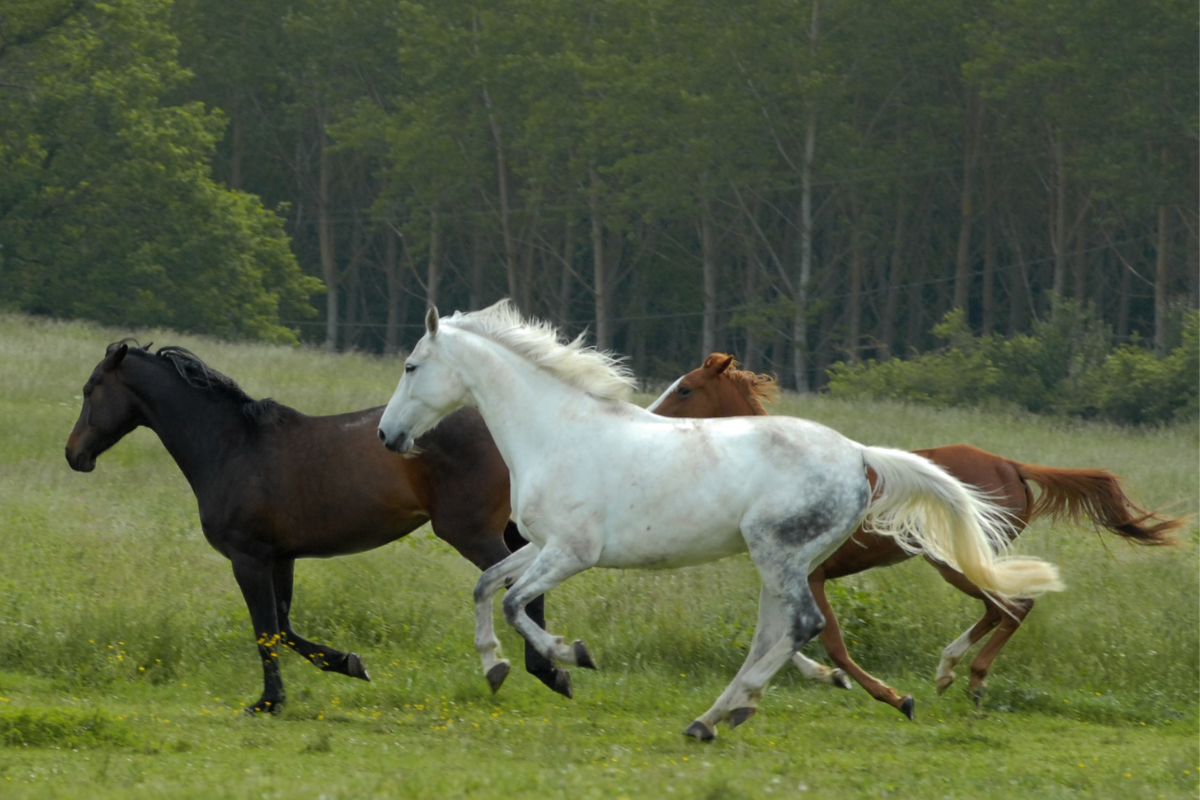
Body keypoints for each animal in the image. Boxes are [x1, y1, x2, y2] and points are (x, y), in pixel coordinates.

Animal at [64, 341, 573, 713]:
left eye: (90, 389)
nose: (74, 454)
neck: (231, 447)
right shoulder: (280, 557)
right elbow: (284, 628)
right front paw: (350, 663)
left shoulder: (247, 558)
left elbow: (265, 630)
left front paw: (269, 701)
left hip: (471, 532)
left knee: (514, 586)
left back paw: (546, 670)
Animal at [376, 301, 1063, 740]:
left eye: (411, 367)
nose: (387, 436)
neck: (558, 432)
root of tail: (860, 455)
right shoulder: (541, 546)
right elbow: (485, 586)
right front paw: (494, 666)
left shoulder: (571, 553)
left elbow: (516, 602)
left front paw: (574, 656)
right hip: (784, 563)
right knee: (778, 634)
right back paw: (720, 716)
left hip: (777, 555)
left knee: (802, 627)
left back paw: (721, 716)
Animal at [649, 352, 1181, 717]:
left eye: (685, 389)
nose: (649, 417)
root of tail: (1011, 464)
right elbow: (789, 639)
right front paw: (826, 678)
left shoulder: (811, 575)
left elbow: (828, 640)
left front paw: (889, 695)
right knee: (1000, 609)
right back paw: (949, 671)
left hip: (952, 560)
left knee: (1013, 606)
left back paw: (972, 679)